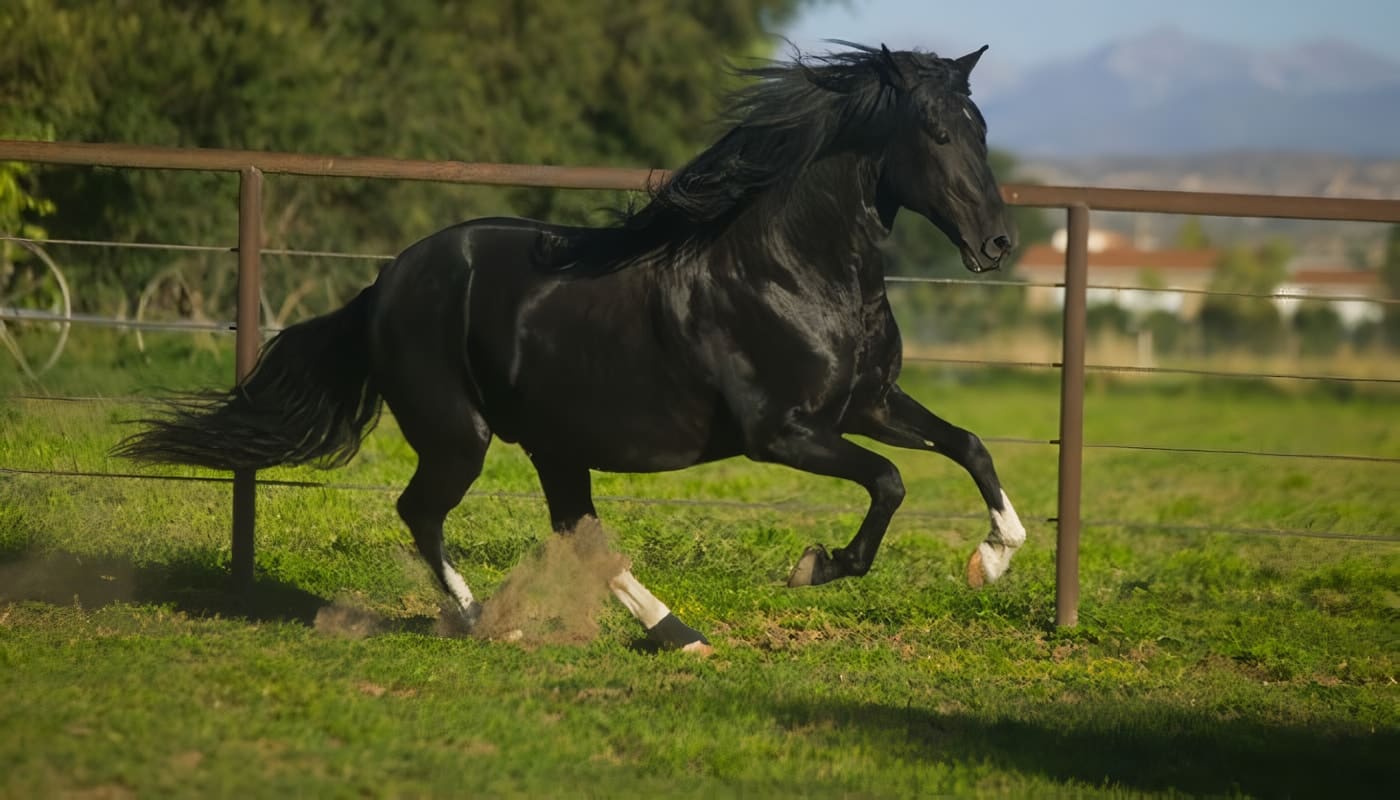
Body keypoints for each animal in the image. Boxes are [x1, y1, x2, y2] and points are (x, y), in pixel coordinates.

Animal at [120, 43, 1030, 652]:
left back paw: (675, 632)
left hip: (555, 440)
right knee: (423, 512)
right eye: (937, 133)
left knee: (575, 527)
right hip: (460, 436)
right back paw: (483, 620)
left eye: (982, 127)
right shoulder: (784, 433)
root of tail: (385, 283)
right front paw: (816, 565)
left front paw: (994, 557)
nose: (998, 243)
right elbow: (891, 482)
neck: (791, 271)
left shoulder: (868, 403)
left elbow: (969, 446)